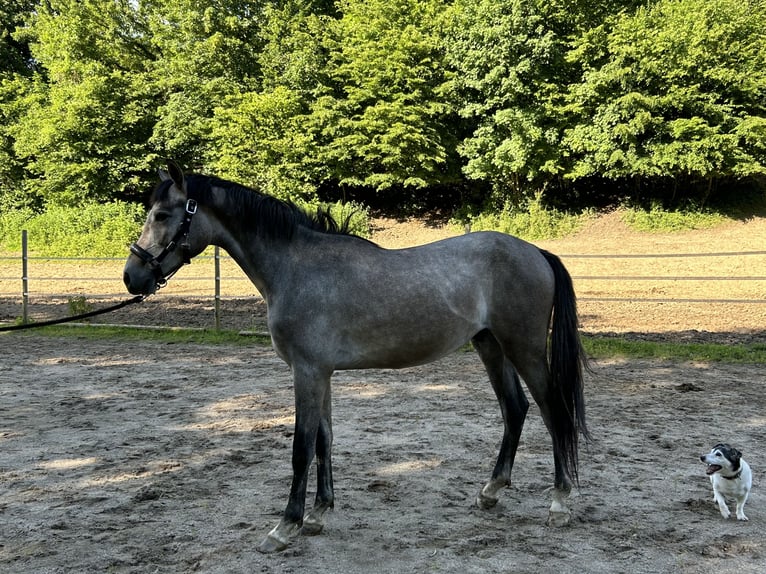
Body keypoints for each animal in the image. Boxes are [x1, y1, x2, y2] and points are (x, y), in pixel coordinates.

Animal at [123, 161, 592, 552]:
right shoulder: (322, 374)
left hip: (524, 348)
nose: (132, 277)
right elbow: (324, 440)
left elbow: (301, 447)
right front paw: (317, 514)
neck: (296, 268)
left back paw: (559, 502)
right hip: (491, 346)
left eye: (162, 215)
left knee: (553, 410)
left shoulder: (308, 372)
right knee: (515, 409)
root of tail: (536, 253)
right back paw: (491, 492)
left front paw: (285, 526)